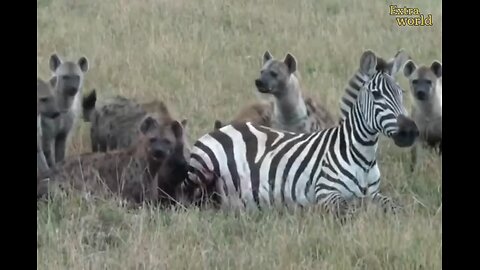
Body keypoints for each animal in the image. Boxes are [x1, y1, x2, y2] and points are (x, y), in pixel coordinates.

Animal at [184, 50, 420, 221]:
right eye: (377, 94)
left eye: (401, 93)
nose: (410, 131)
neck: (364, 157)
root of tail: (223, 128)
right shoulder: (326, 193)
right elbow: (351, 210)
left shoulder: (375, 193)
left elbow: (395, 206)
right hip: (199, 174)